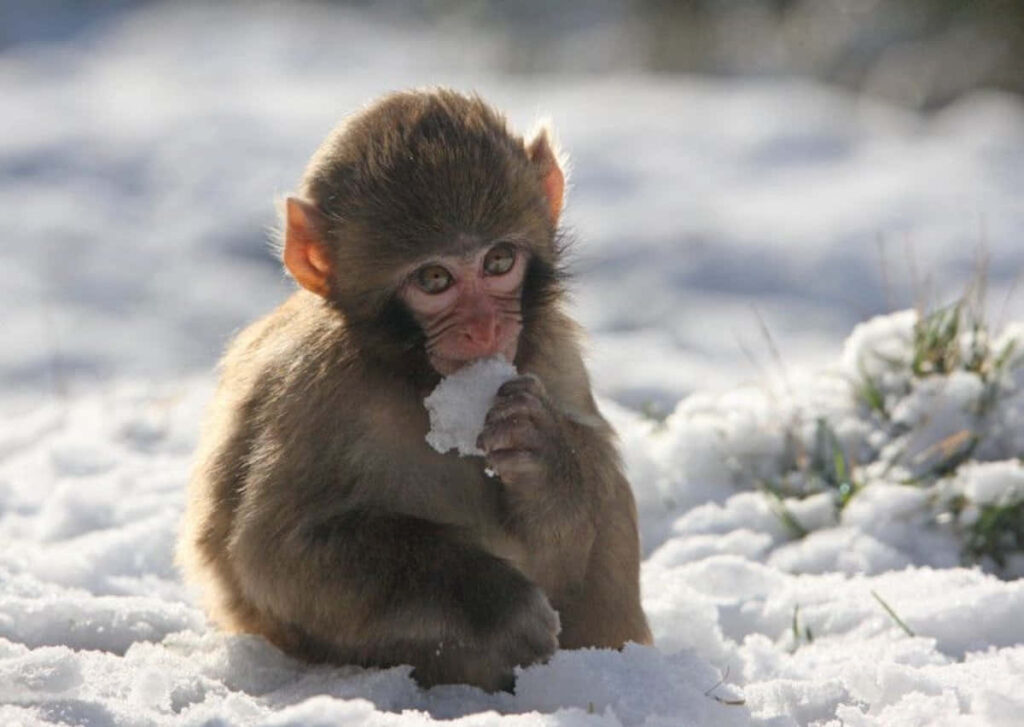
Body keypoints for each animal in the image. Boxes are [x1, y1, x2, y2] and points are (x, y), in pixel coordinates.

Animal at [177, 88, 652, 692]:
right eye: (434, 279)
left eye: (499, 261)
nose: (483, 329)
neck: (414, 376)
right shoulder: (310, 392)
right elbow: (274, 552)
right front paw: (492, 602)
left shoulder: (551, 357)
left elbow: (568, 539)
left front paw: (545, 452)